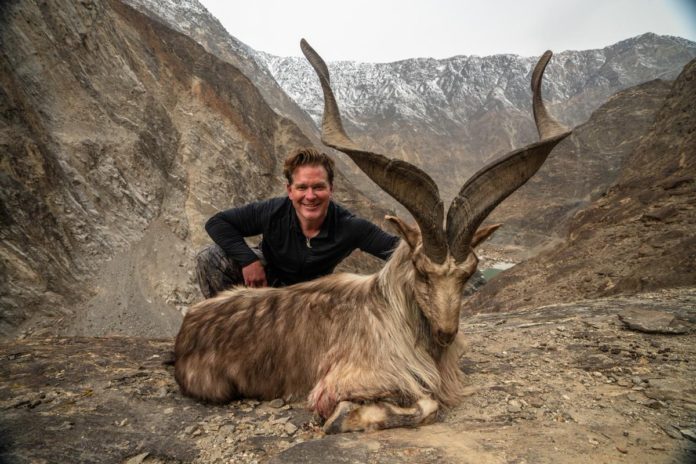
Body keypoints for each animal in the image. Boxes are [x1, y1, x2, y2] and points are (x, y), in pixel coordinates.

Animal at [174, 39, 572, 432]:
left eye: (469, 274)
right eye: (422, 272)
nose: (446, 333)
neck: (393, 314)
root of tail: (185, 329)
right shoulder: (345, 381)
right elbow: (426, 404)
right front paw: (341, 419)